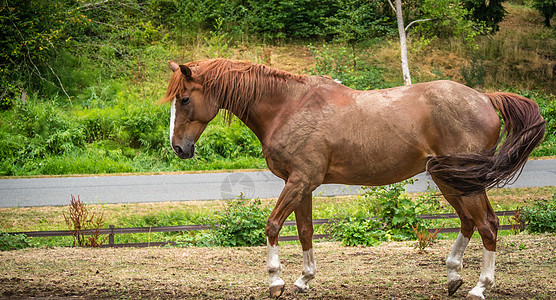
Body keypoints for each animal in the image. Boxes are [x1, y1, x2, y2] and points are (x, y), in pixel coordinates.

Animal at [163, 58, 544, 300]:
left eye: (185, 98)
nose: (179, 148)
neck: (288, 106)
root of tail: (484, 97)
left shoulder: (299, 182)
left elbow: (272, 226)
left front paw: (276, 281)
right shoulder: (301, 185)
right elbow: (305, 231)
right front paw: (304, 279)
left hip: (465, 182)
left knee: (488, 224)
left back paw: (480, 287)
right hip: (449, 179)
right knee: (468, 221)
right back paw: (453, 276)